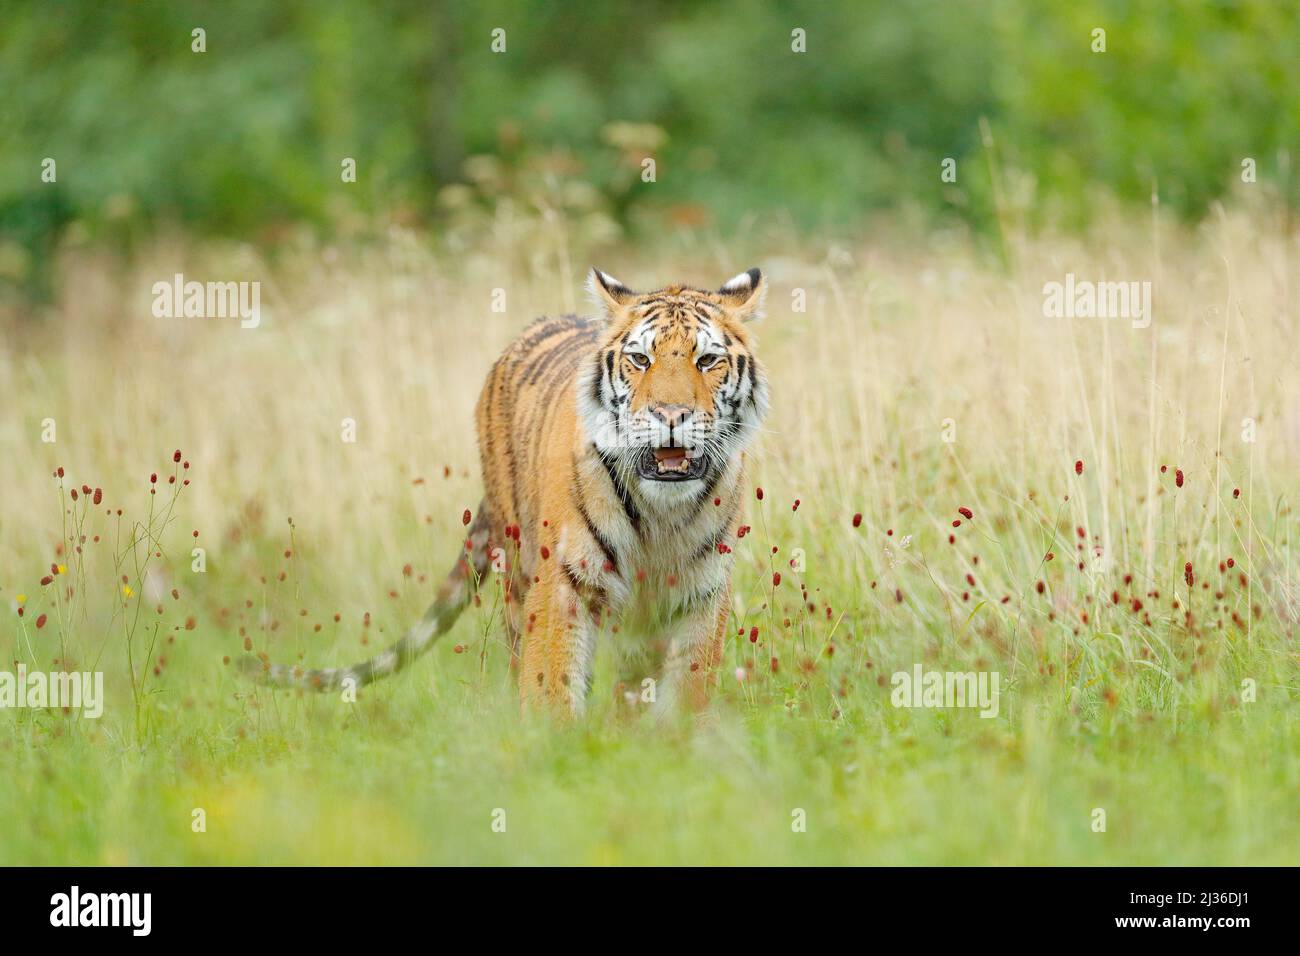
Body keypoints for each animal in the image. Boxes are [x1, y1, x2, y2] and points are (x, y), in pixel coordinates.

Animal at [241, 265, 769, 712]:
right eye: (640, 359)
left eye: (707, 360)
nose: (670, 415)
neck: (661, 512)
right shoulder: (563, 583)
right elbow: (553, 684)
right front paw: (555, 747)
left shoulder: (702, 594)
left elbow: (686, 693)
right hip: (517, 573)